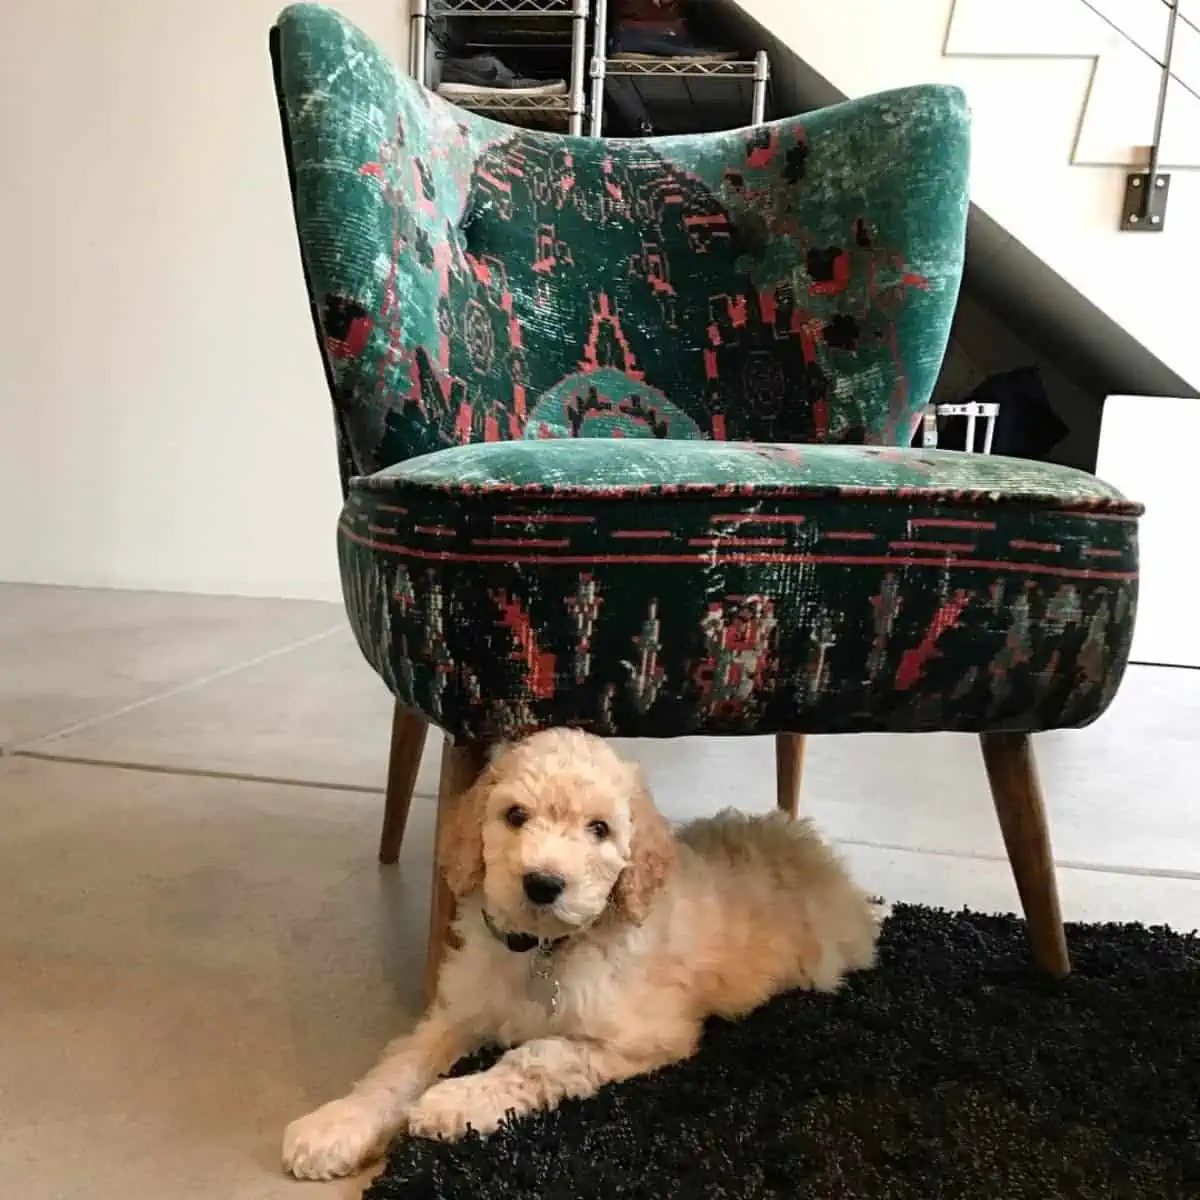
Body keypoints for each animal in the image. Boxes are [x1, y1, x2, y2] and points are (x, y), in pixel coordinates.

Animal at [283, 724, 883, 1176]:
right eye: (515, 816)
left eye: (599, 829)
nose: (543, 883)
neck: (542, 949)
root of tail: (809, 845)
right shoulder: (457, 1011)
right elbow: (399, 1066)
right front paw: (334, 1126)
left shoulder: (648, 1036)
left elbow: (537, 1056)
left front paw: (453, 1103)